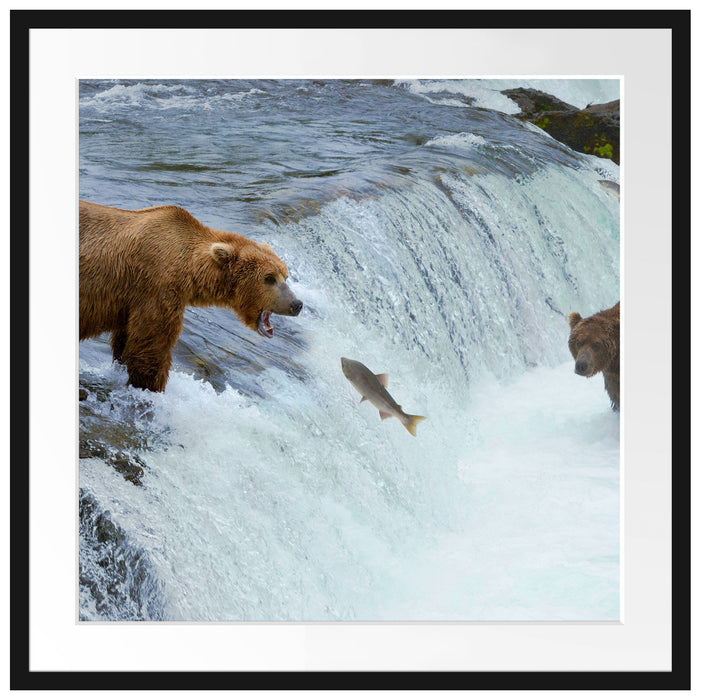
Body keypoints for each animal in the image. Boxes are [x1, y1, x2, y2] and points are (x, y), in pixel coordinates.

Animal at [79, 200, 302, 392]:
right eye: (269, 278)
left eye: (285, 274)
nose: (296, 304)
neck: (190, 269)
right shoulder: (157, 287)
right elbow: (151, 348)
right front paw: (151, 387)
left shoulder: (131, 302)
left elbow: (125, 341)